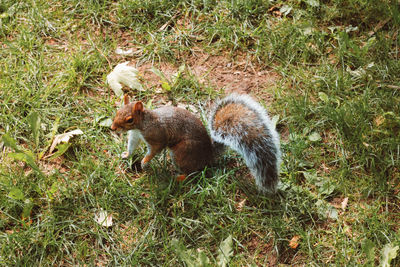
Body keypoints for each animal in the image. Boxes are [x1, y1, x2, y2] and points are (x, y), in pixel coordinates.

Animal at [110, 93, 282, 194]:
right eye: (117, 112)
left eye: (129, 119)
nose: (112, 128)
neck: (142, 124)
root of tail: (207, 156)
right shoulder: (135, 135)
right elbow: (131, 146)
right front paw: (126, 154)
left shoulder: (156, 136)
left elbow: (155, 150)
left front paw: (145, 162)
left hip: (180, 152)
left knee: (193, 173)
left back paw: (178, 178)